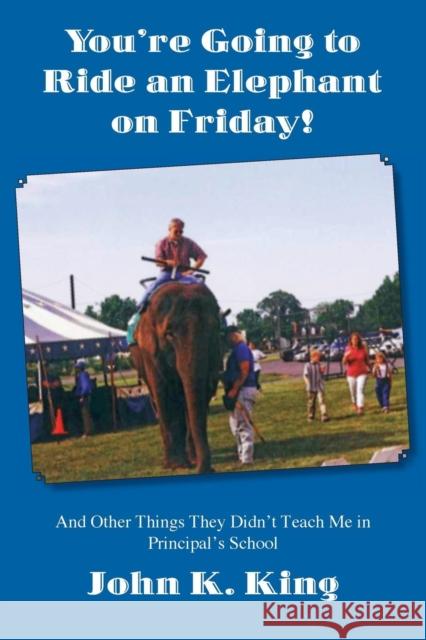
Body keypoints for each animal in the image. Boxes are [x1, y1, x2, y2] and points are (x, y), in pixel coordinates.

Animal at [131, 281, 223, 474]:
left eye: (215, 329)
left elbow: (202, 393)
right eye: (169, 334)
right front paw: (177, 465)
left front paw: (192, 460)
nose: (210, 470)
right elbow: (163, 393)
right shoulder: (150, 353)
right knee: (158, 401)